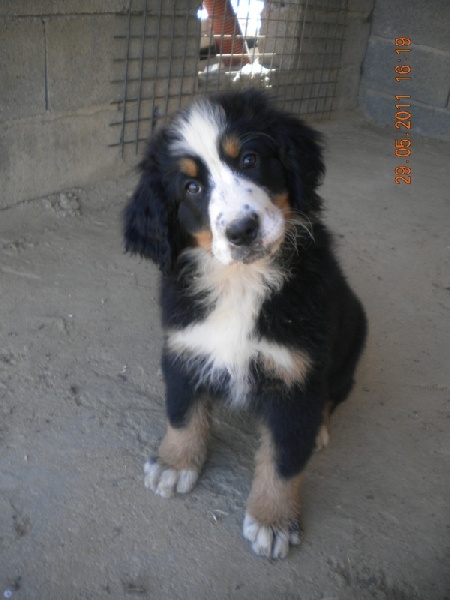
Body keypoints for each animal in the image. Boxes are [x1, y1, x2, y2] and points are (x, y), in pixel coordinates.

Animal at [124, 90, 367, 559]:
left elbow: (284, 459)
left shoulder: (296, 375)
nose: (242, 230)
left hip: (352, 339)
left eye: (250, 159)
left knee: (335, 394)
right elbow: (182, 413)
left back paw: (320, 429)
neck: (240, 283)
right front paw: (173, 463)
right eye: (192, 187)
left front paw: (273, 520)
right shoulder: (184, 346)